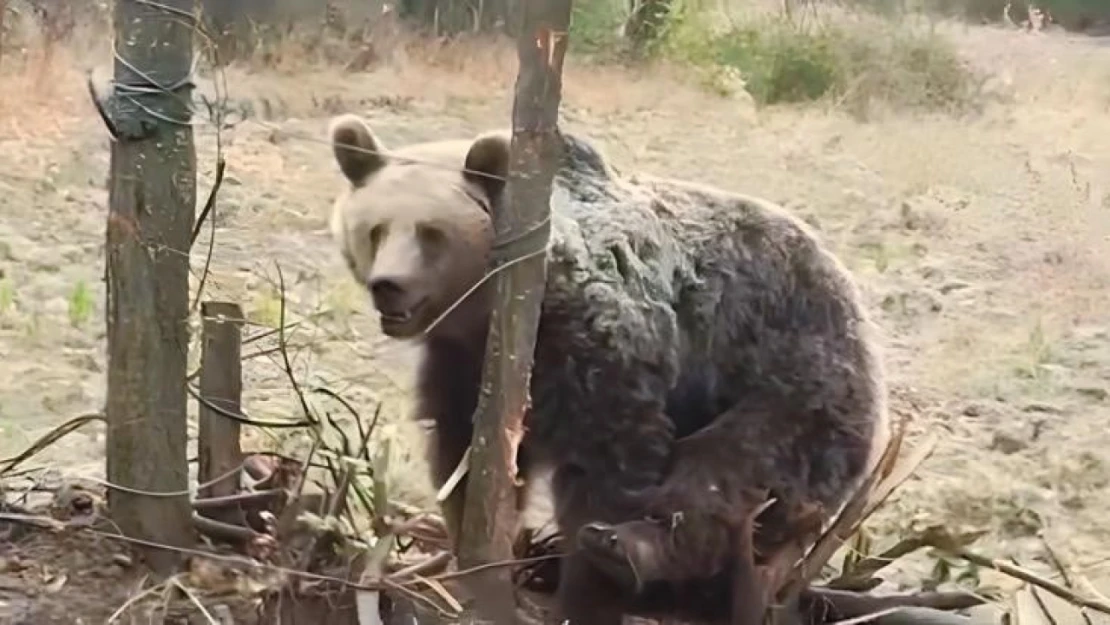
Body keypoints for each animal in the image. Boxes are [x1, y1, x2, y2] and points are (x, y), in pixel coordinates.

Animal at [324, 113, 888, 625]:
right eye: (375, 229)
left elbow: (611, 460)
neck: (507, 306)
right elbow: (462, 449)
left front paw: (585, 589)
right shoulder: (467, 360)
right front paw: (475, 548)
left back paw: (631, 549)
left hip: (798, 375)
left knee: (731, 468)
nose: (389, 286)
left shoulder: (598, 341)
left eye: (431, 233)